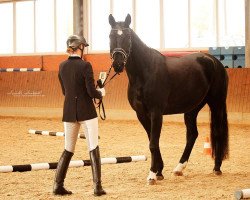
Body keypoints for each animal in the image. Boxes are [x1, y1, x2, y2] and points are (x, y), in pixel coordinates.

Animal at [107, 14, 229, 184]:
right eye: (111, 36)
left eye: (127, 36)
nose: (118, 64)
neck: (145, 72)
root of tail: (214, 61)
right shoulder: (141, 114)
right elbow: (152, 141)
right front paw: (159, 171)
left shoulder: (156, 113)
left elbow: (153, 143)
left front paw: (152, 175)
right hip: (192, 109)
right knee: (192, 134)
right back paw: (179, 168)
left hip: (216, 103)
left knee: (217, 132)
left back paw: (217, 168)